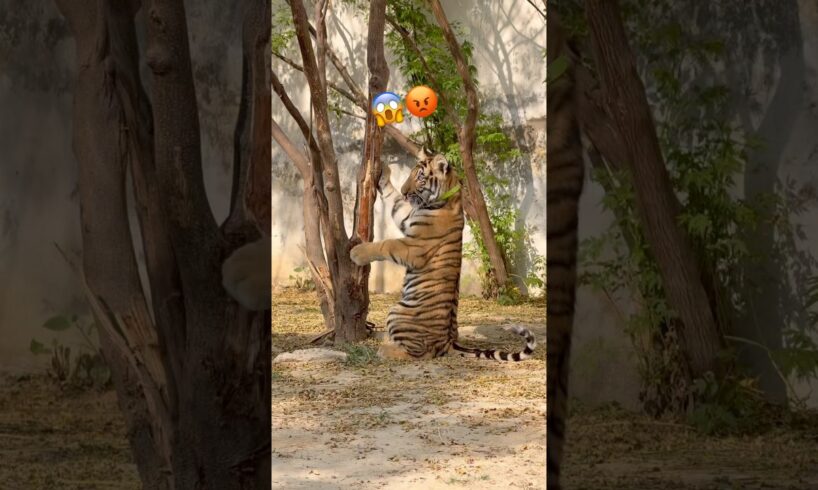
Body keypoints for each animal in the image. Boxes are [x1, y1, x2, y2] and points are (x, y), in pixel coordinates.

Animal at [349, 147, 536, 361]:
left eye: (420, 177)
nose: (405, 192)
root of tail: (448, 342)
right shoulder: (408, 217)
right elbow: (394, 200)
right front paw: (384, 171)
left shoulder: (414, 247)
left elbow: (387, 244)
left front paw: (356, 252)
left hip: (398, 312)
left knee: (420, 352)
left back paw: (385, 350)